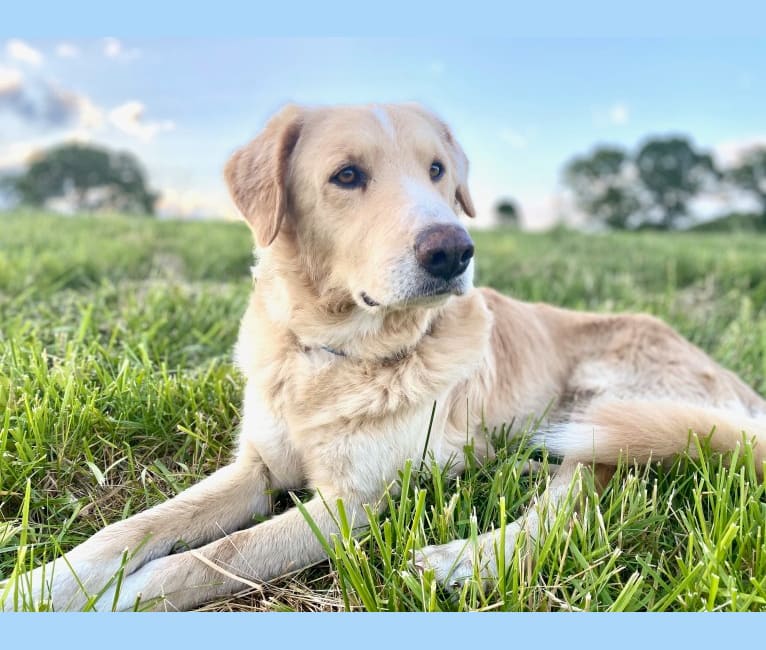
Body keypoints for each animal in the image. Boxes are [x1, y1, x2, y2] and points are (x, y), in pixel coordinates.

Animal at [7, 100, 766, 608]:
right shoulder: (255, 470)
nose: (454, 250)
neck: (331, 355)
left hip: (610, 403)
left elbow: (212, 557)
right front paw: (39, 586)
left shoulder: (352, 506)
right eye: (346, 176)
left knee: (574, 498)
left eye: (437, 172)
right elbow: (132, 529)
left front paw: (116, 601)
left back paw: (461, 562)